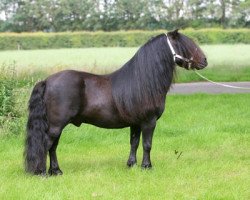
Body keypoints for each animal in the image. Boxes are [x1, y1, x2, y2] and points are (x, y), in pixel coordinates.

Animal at [24, 29, 207, 175]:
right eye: (187, 44)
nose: (205, 60)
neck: (143, 81)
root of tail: (47, 81)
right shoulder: (149, 121)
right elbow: (147, 144)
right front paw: (147, 166)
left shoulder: (136, 123)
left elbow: (134, 143)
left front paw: (131, 165)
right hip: (56, 125)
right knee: (46, 145)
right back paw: (42, 172)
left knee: (53, 147)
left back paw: (56, 171)